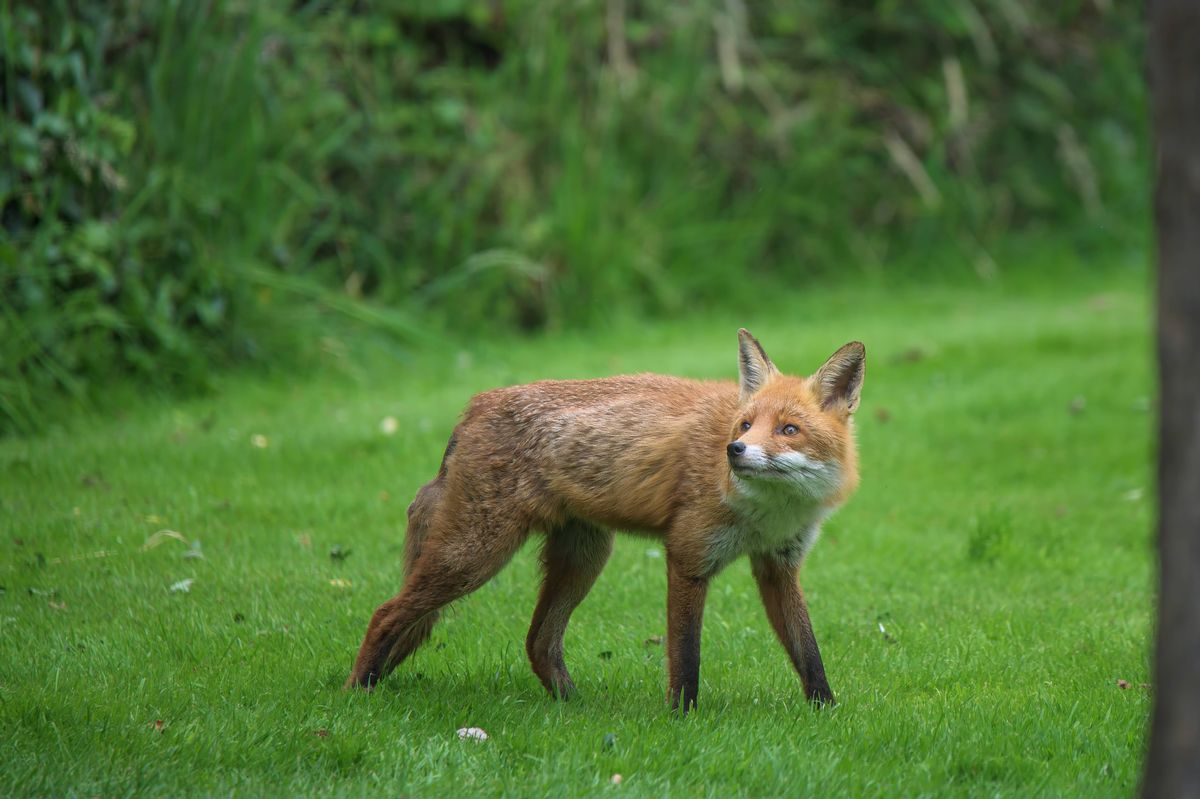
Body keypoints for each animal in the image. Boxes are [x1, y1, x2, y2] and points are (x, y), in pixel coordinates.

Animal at [345, 329, 865, 712]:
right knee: (386, 612)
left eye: (789, 429)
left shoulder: (779, 567)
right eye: (745, 425)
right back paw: (357, 692)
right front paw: (683, 718)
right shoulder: (688, 557)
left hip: (583, 558)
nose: (733, 451)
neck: (767, 511)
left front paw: (826, 713)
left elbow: (808, 652)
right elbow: (686, 657)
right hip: (475, 555)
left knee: (538, 642)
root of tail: (474, 405)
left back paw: (576, 707)